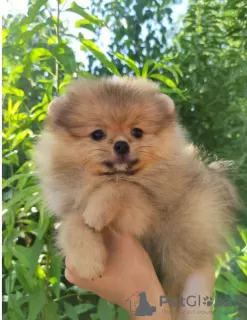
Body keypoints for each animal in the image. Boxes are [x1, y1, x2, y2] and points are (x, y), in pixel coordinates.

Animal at [33, 77, 238, 316]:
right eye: (97, 134)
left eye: (137, 132)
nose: (121, 144)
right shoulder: (68, 206)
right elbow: (72, 223)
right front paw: (87, 260)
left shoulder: (140, 216)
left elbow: (123, 187)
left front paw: (96, 213)